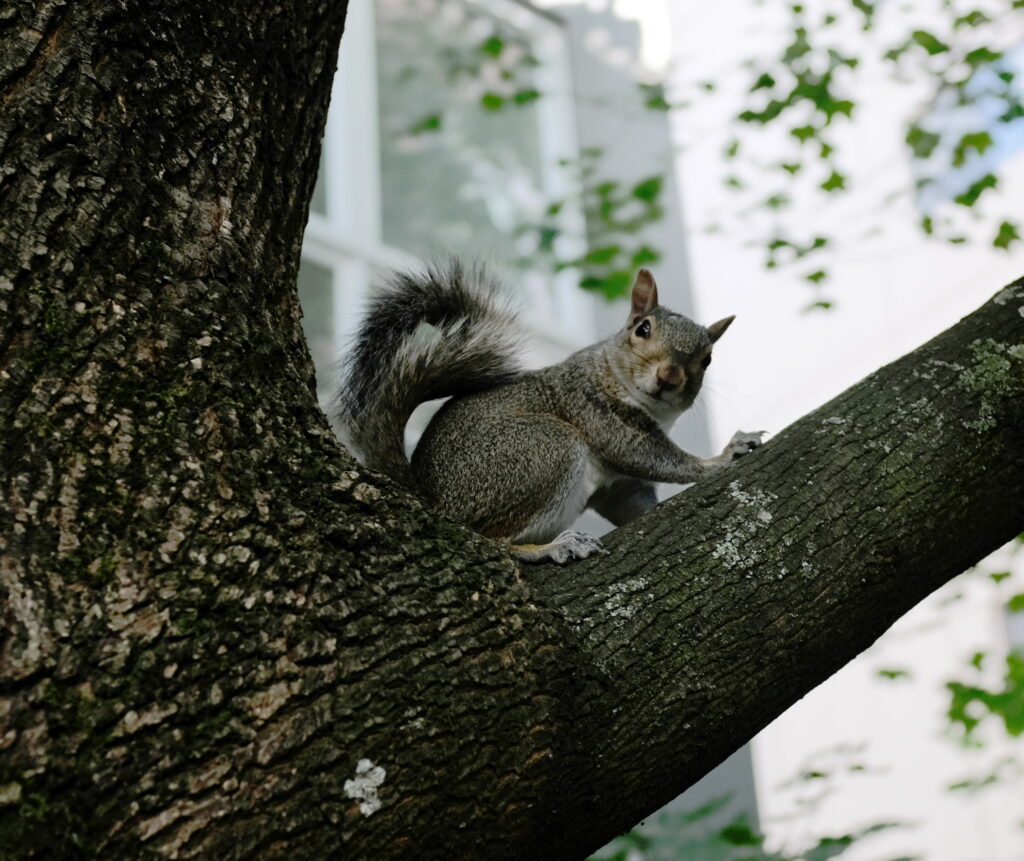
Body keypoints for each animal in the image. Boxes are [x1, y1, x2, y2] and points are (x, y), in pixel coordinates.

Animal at [337, 260, 765, 564]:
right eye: (642, 329)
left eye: (707, 360)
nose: (669, 376)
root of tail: (432, 500)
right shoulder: (595, 410)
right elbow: (659, 458)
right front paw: (723, 456)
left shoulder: (619, 486)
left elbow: (632, 503)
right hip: (544, 450)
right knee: (491, 539)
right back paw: (551, 548)